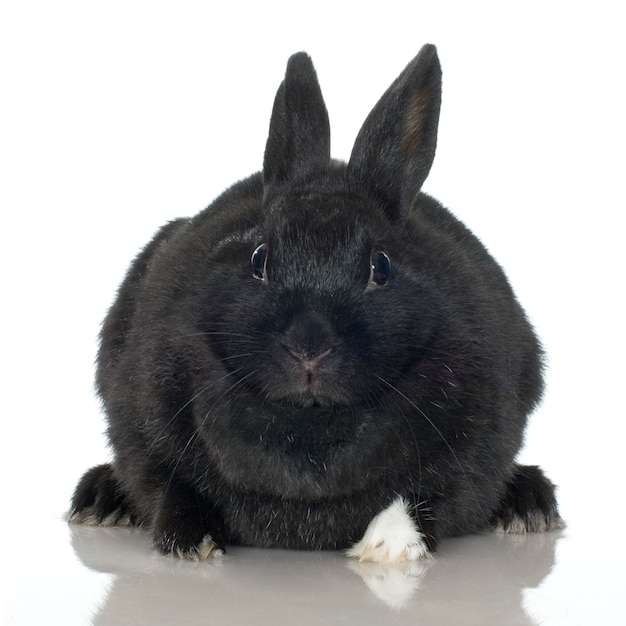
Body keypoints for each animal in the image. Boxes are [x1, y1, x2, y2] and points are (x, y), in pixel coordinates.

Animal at [68, 45, 560, 560]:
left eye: (381, 266)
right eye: (259, 259)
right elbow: (172, 486)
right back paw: (100, 499)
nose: (308, 348)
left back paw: (529, 503)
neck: (310, 422)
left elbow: (428, 500)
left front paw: (386, 546)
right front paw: (189, 541)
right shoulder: (144, 427)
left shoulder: (473, 453)